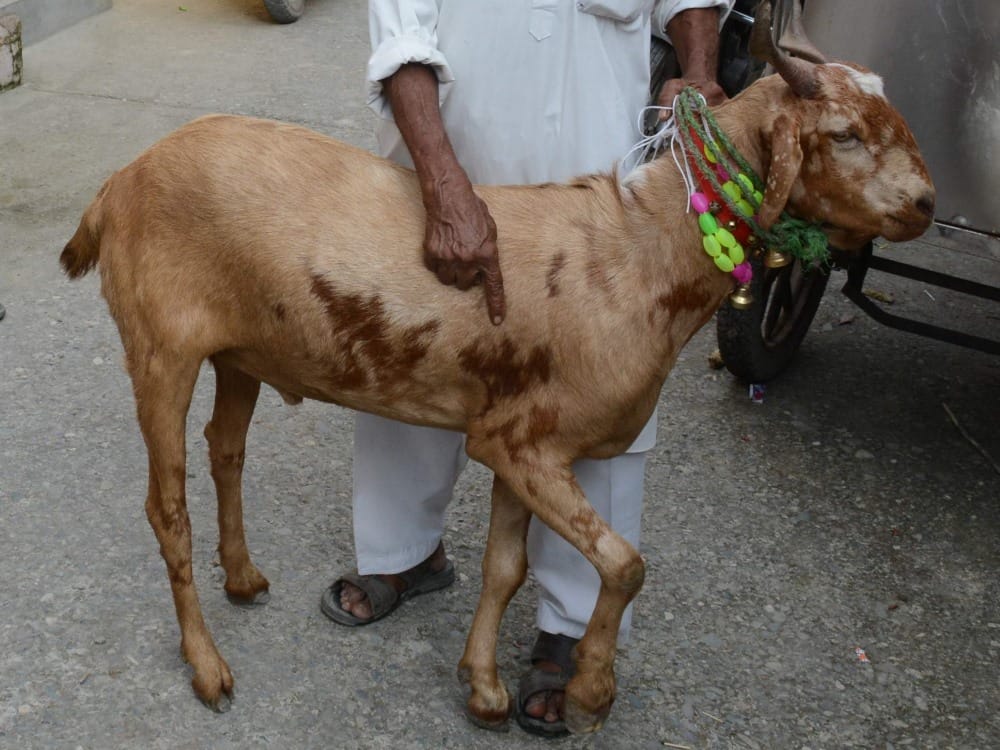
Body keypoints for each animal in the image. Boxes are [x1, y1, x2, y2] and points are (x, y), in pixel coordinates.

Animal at [60, 18, 933, 734]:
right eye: (845, 134)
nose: (926, 203)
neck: (642, 249)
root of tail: (115, 185)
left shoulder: (524, 437)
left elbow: (508, 568)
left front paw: (486, 687)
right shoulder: (528, 444)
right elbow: (625, 563)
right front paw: (588, 694)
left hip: (239, 351)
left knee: (225, 449)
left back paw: (241, 577)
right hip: (158, 345)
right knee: (166, 505)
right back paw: (208, 666)